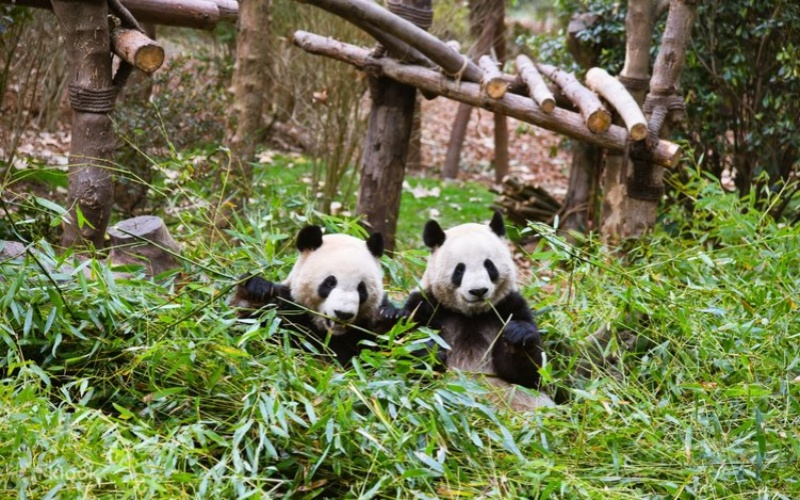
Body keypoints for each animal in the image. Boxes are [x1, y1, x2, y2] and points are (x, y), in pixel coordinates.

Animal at [233, 225, 402, 365]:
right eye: (330, 283)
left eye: (361, 289)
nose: (343, 314)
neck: (330, 333)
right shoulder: (289, 311)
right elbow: (248, 328)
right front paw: (256, 289)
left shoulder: (363, 330)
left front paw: (389, 316)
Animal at [403, 211, 555, 410]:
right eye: (459, 269)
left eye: (489, 265)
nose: (478, 291)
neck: (471, 314)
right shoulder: (425, 306)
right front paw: (429, 350)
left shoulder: (510, 306)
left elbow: (530, 377)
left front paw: (517, 336)